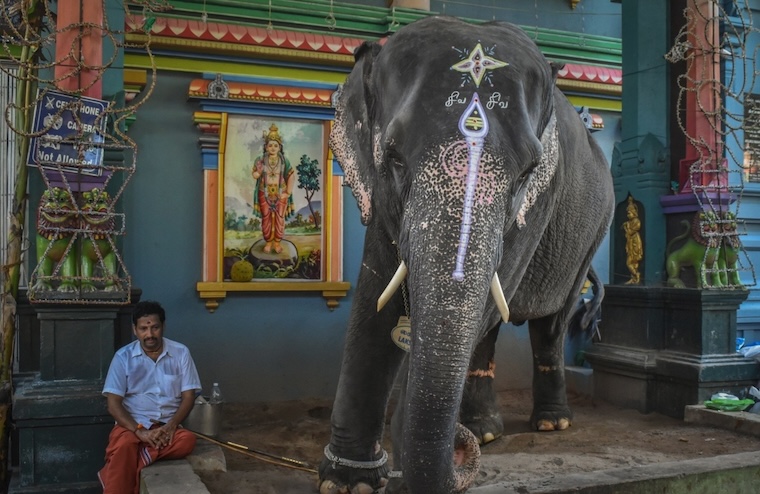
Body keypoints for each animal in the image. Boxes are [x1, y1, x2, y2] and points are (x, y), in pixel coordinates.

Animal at [319, 16, 614, 494]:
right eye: (394, 159)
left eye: (527, 173)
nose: (460, 454)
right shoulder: (380, 199)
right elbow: (374, 298)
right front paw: (349, 482)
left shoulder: (536, 208)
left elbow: (492, 294)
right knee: (492, 331)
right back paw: (484, 431)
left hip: (590, 237)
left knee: (550, 324)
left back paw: (548, 425)